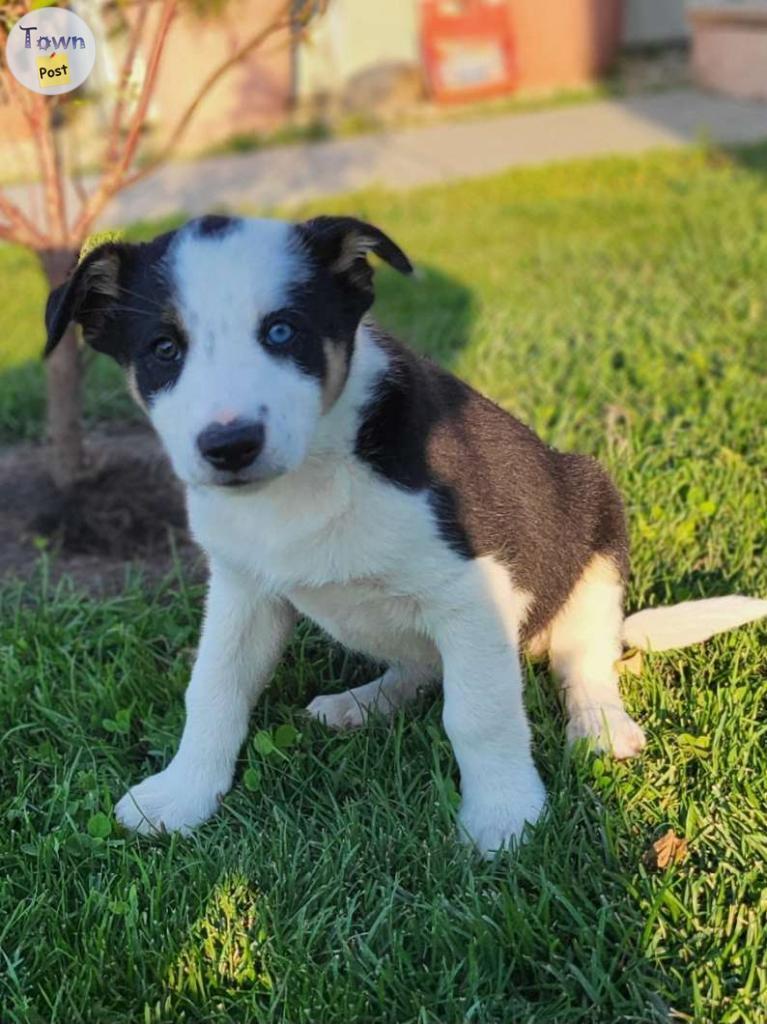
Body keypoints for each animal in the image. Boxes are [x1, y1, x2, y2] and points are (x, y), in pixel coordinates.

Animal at [43, 214, 765, 856]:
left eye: (282, 331)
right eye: (164, 350)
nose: (230, 446)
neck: (314, 470)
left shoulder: (475, 591)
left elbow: (478, 714)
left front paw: (504, 817)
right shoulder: (244, 588)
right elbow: (214, 689)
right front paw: (183, 794)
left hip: (594, 519)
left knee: (582, 658)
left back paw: (598, 725)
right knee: (421, 666)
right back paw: (363, 702)